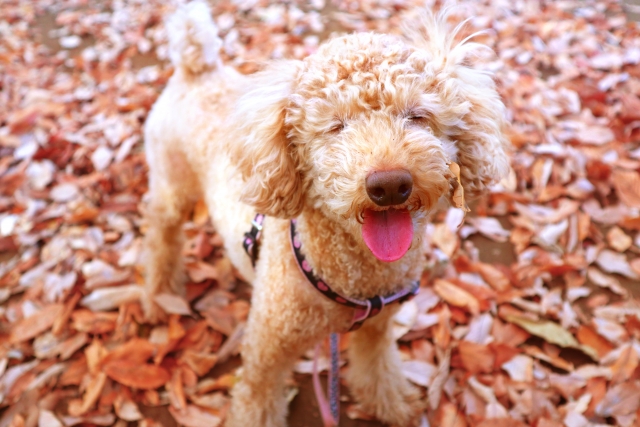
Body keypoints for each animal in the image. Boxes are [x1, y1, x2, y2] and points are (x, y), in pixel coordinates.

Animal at [144, 1, 510, 426]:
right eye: (336, 127)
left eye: (418, 116)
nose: (389, 185)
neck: (354, 277)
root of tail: (195, 68)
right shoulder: (265, 354)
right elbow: (257, 400)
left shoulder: (378, 327)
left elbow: (377, 367)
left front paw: (395, 407)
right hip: (171, 184)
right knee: (161, 233)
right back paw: (158, 293)